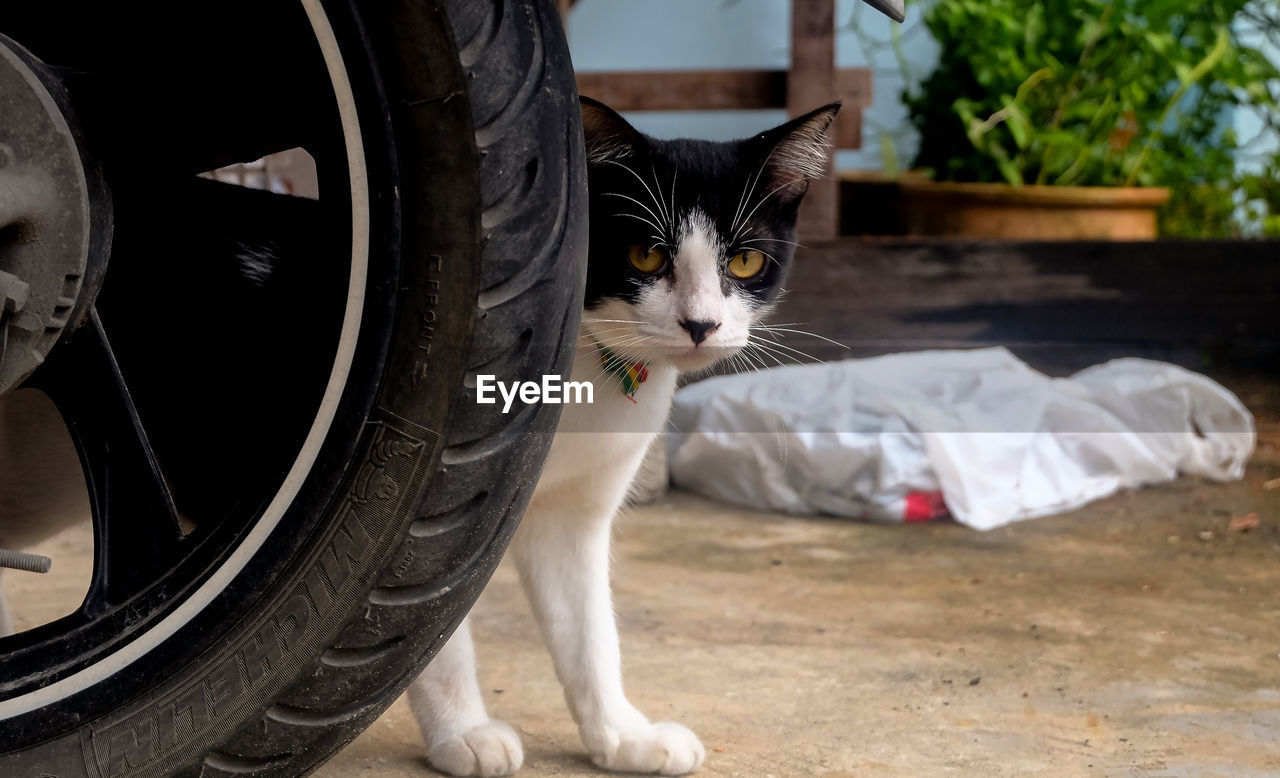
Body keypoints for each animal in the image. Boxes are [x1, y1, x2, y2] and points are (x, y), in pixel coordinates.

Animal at [407, 98, 839, 778]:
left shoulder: (572, 512)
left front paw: (621, 736)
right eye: (644, 255)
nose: (700, 324)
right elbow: (417, 596)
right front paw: (462, 732)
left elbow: (590, 631)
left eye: (744, 261)